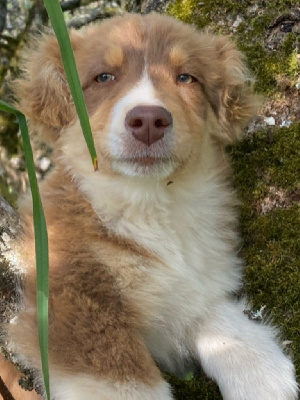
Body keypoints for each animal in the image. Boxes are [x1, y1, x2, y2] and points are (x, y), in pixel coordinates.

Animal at [3, 12, 298, 400]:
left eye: (186, 77)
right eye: (104, 77)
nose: (148, 121)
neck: (153, 204)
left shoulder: (196, 275)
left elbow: (206, 305)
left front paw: (260, 368)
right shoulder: (63, 291)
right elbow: (123, 377)